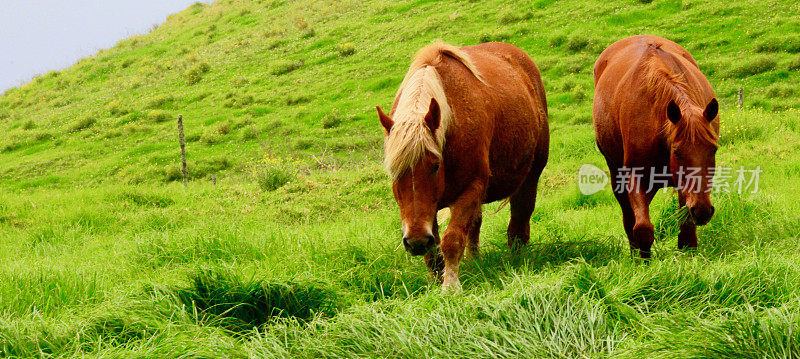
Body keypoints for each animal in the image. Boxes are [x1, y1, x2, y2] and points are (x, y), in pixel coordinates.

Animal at [376, 41, 552, 290]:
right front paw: (437, 282)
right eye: (393, 171)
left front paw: (451, 286)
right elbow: (435, 251)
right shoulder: (431, 209)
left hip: (530, 176)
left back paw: (518, 257)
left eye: (435, 165)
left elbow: (451, 239)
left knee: (520, 218)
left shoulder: (470, 190)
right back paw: (475, 260)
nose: (416, 242)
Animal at [592, 35, 720, 258]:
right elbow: (642, 228)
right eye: (677, 152)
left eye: (713, 149)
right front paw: (643, 261)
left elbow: (686, 227)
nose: (703, 211)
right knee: (629, 217)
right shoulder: (635, 176)